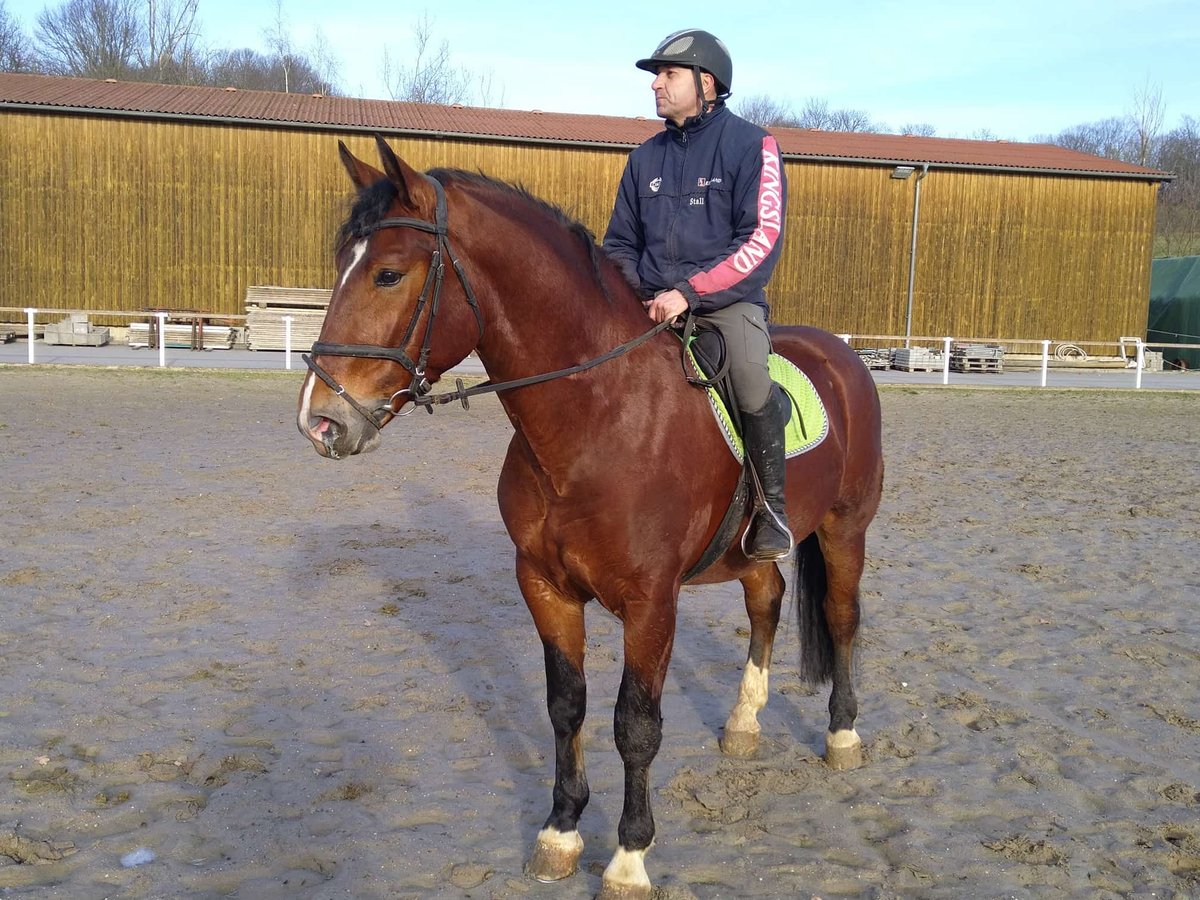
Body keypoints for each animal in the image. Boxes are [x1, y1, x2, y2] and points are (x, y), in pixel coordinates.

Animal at [300, 137, 883, 897]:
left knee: (841, 619)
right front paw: (560, 832)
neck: (599, 418)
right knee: (768, 600)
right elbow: (565, 707)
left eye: (389, 274)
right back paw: (743, 724)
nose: (320, 420)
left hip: (846, 529)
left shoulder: (650, 602)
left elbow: (635, 724)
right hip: (749, 550)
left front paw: (629, 858)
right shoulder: (545, 587)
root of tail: (844, 354)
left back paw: (842, 736)